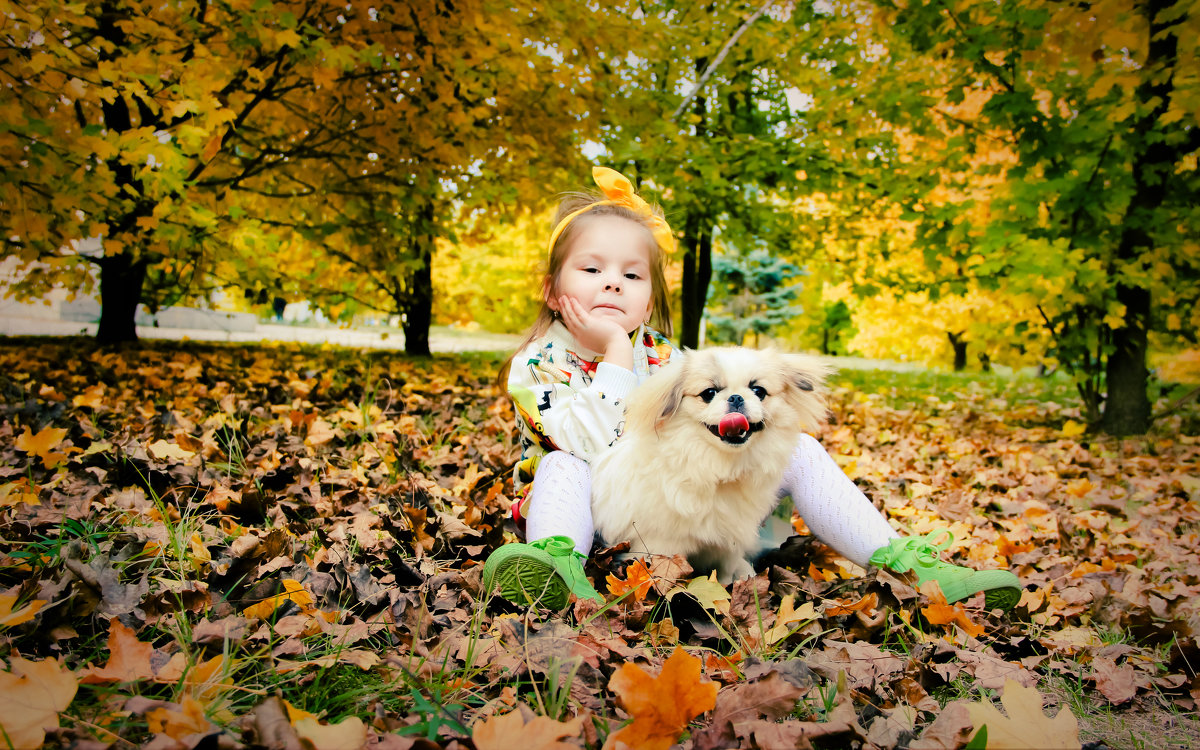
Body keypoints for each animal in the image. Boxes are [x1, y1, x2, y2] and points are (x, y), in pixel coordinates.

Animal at [588, 348, 825, 583]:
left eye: (759, 391)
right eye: (709, 393)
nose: (736, 397)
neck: (717, 467)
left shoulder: (728, 546)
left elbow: (725, 578)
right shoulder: (660, 545)